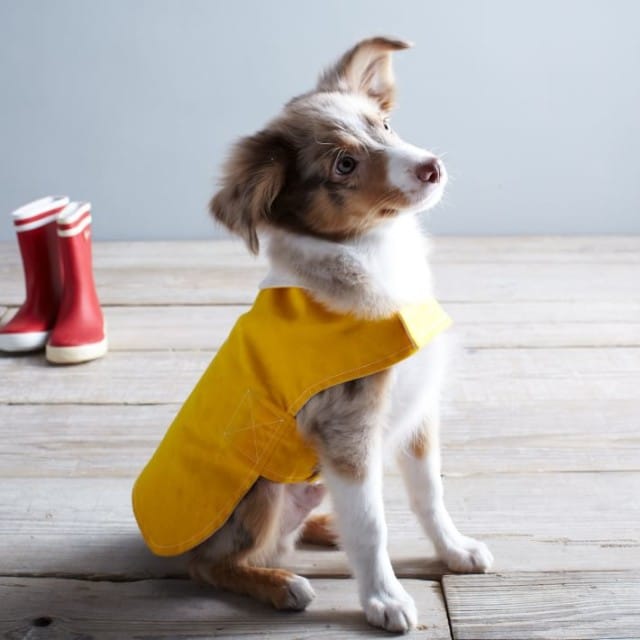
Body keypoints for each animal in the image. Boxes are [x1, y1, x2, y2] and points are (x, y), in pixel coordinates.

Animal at [136, 36, 496, 636]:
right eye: (344, 163)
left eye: (386, 124)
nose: (431, 168)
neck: (375, 255)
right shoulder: (346, 429)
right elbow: (371, 524)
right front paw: (384, 599)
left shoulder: (416, 411)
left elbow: (428, 491)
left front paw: (454, 549)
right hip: (258, 491)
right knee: (211, 565)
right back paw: (280, 584)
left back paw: (324, 528)